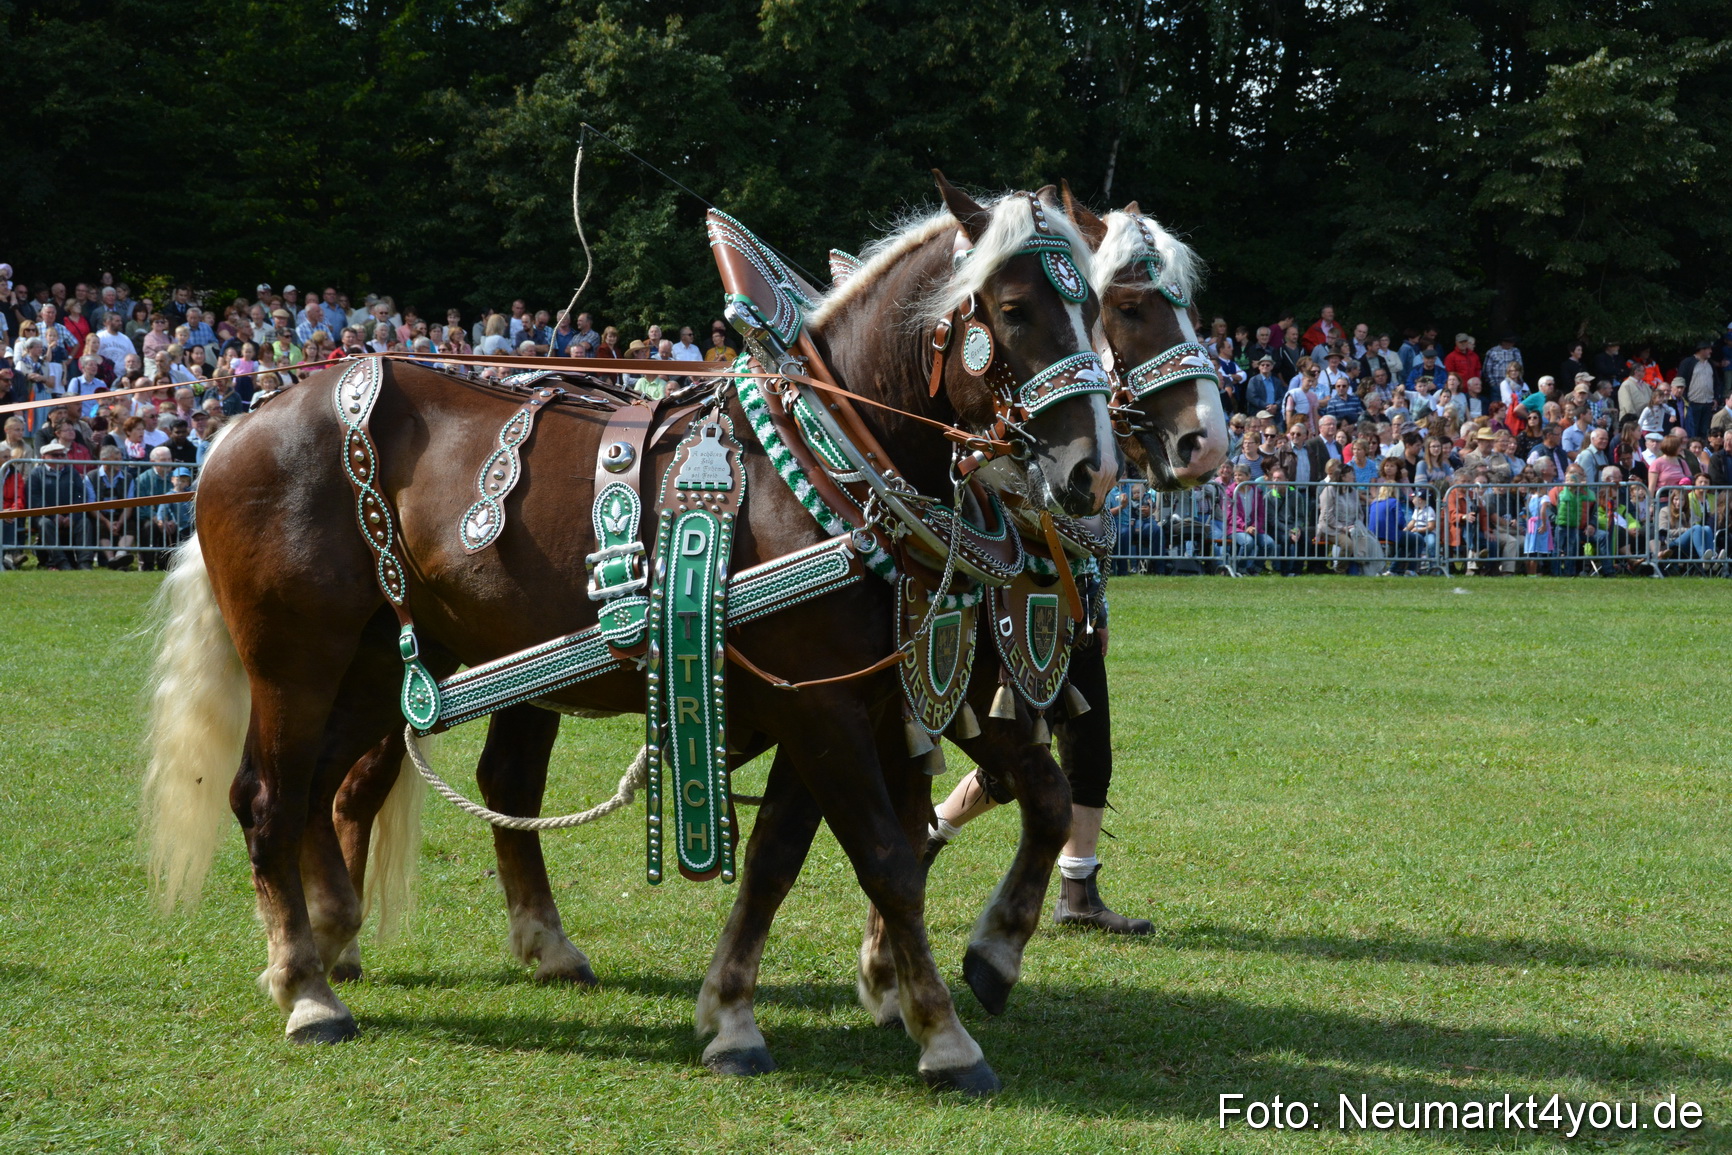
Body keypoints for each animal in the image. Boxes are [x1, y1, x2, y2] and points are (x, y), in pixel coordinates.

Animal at [141, 175, 1119, 1094]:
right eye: (1014, 308)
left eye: (1100, 310)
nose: (1092, 470)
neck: (828, 463)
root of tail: (239, 425)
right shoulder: (827, 711)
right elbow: (888, 857)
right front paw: (946, 1035)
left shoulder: (846, 701)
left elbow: (786, 858)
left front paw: (736, 1012)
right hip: (295, 660)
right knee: (270, 796)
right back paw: (308, 988)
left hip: (381, 661)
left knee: (325, 786)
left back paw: (345, 943)